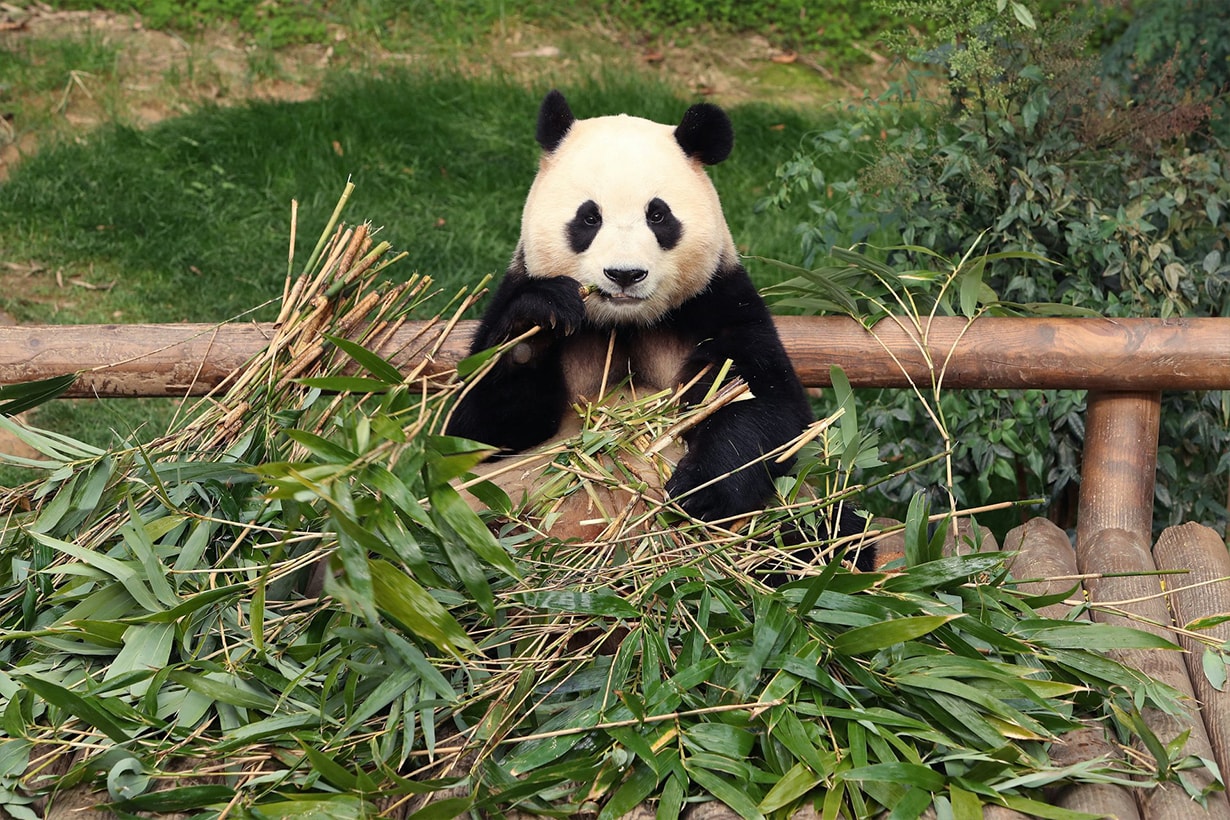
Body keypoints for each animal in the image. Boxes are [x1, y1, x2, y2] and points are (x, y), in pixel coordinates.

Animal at [447, 91, 861, 550]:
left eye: (658, 216)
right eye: (589, 217)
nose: (624, 274)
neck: (623, 324)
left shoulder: (718, 301)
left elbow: (764, 403)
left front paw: (700, 493)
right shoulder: (513, 289)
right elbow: (480, 431)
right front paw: (535, 324)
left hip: (794, 509)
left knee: (830, 531)